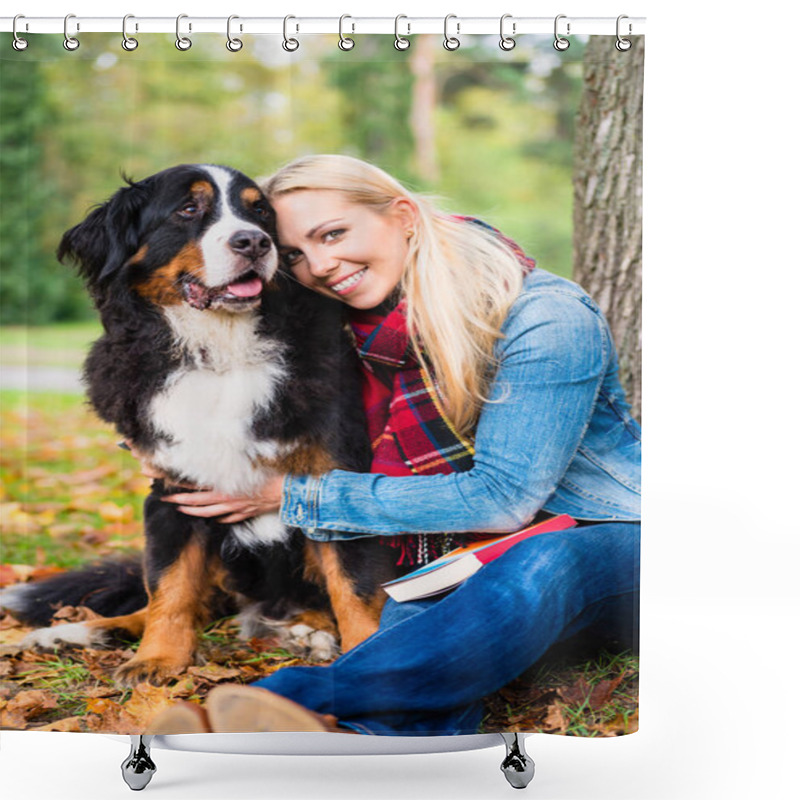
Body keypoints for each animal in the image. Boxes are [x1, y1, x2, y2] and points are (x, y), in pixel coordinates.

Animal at [0, 164, 396, 688]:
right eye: (189, 209)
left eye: (260, 212)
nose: (253, 242)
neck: (220, 352)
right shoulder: (174, 490)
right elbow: (170, 587)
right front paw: (158, 659)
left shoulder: (332, 477)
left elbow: (355, 587)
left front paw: (370, 657)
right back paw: (76, 633)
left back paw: (306, 631)